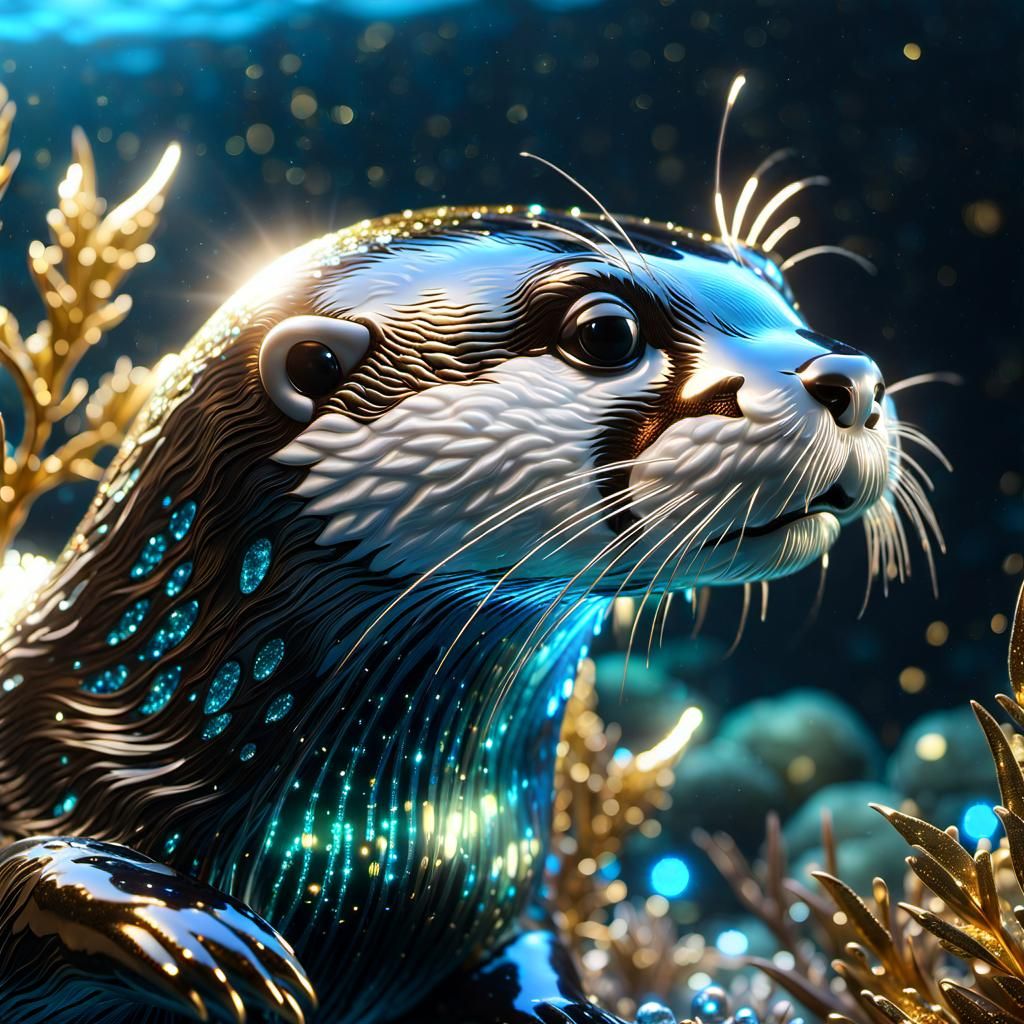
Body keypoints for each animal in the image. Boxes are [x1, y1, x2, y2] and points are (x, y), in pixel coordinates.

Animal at [0, 202, 924, 1024]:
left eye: (783, 291)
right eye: (606, 334)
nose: (852, 378)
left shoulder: (505, 895)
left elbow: (527, 951)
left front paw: (568, 1009)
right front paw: (181, 920)